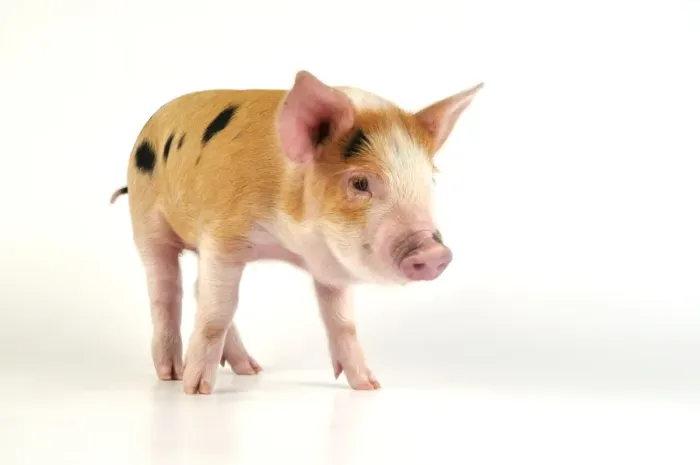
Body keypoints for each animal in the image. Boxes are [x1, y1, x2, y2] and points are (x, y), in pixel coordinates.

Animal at [110, 70, 483, 394]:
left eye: (430, 179)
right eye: (360, 183)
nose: (435, 253)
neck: (286, 241)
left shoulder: (330, 264)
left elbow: (342, 322)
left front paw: (368, 386)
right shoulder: (222, 237)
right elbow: (218, 311)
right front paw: (196, 391)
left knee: (199, 288)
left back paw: (251, 369)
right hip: (145, 221)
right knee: (166, 289)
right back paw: (171, 374)